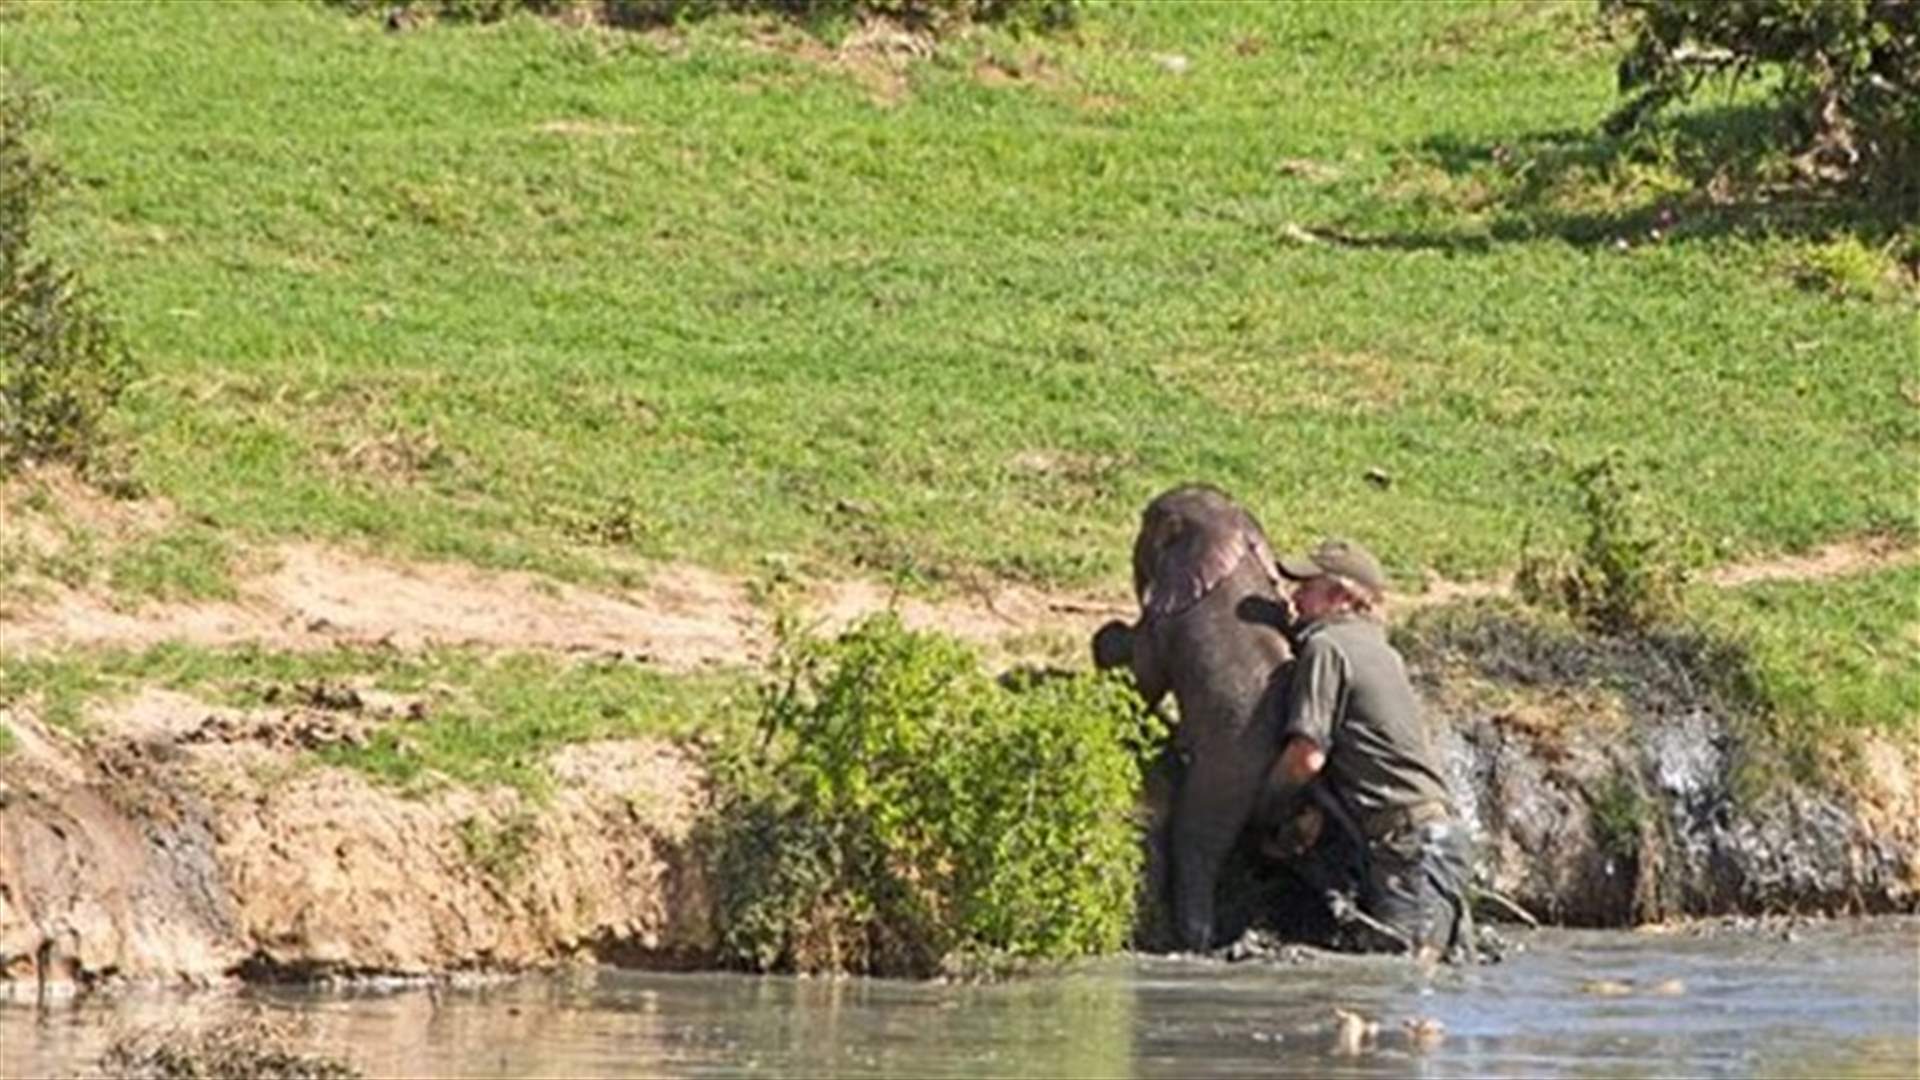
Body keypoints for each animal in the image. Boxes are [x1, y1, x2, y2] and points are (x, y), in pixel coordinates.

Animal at [1092, 483, 1295, 952]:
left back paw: (1195, 938)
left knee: (1195, 830)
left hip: (1227, 763)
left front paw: (1107, 641)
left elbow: (1143, 677)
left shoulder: (1169, 620)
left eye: (1144, 523)